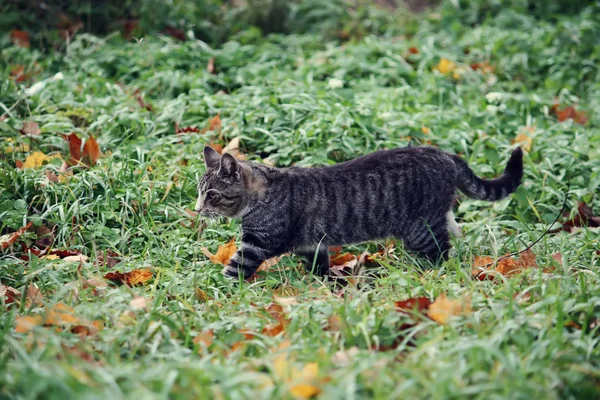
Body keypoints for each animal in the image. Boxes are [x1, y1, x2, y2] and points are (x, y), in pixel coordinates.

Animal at [195, 145, 524, 280]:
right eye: (198, 191)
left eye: (212, 195)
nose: (197, 210)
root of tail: (442, 153)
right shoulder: (311, 245)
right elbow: (318, 269)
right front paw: (322, 286)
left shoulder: (257, 245)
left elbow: (234, 268)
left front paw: (221, 290)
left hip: (421, 229)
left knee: (442, 251)